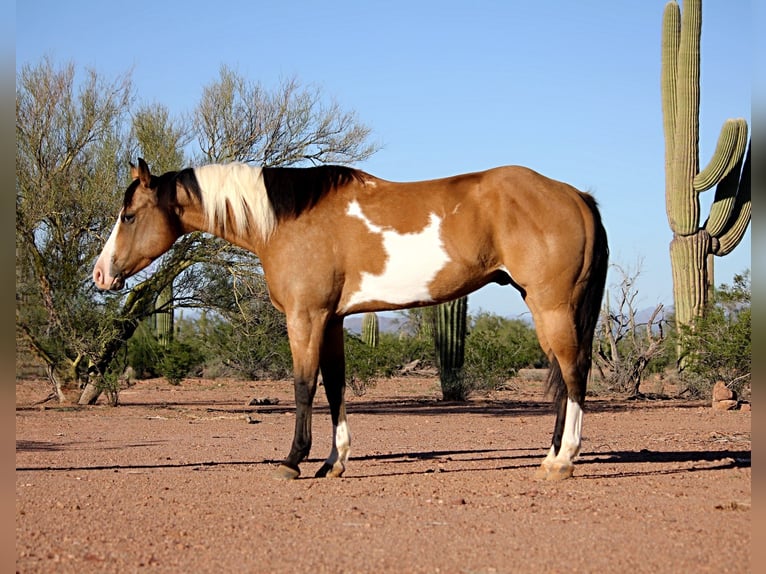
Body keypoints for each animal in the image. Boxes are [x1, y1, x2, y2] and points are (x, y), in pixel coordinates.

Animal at [93, 158, 608, 481]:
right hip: (547, 307)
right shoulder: (334, 319)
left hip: (551, 305)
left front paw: (293, 461)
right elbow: (336, 385)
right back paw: (550, 456)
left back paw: (563, 463)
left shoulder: (305, 317)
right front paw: (332, 463)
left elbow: (304, 385)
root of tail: (577, 196)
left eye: (128, 215)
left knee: (573, 374)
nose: (100, 274)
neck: (286, 219)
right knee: (563, 376)